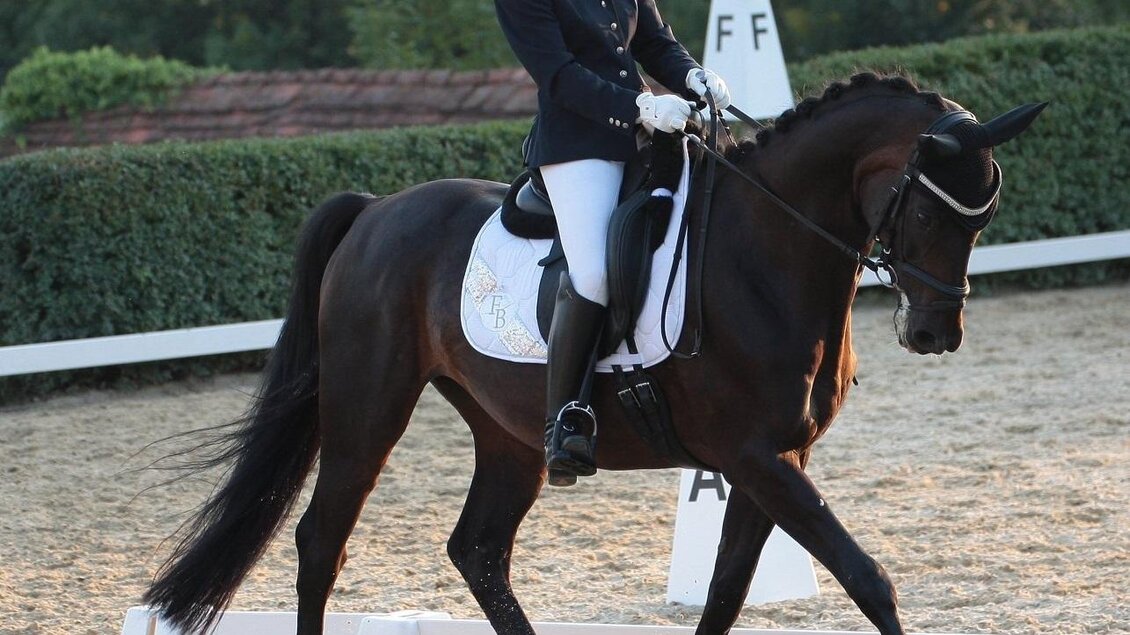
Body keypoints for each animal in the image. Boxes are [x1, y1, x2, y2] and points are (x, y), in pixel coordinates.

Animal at [143, 73, 1045, 635]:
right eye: (929, 211)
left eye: (985, 212)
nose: (934, 332)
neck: (767, 251)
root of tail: (374, 211)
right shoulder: (756, 456)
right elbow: (867, 579)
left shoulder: (778, 460)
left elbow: (725, 594)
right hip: (368, 408)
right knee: (320, 542)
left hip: (509, 433)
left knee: (478, 549)